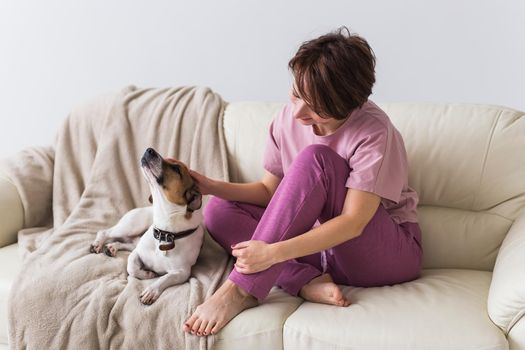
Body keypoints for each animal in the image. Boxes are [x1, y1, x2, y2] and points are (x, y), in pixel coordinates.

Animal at [89, 148, 204, 304]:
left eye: (176, 169)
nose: (149, 150)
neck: (166, 232)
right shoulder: (138, 253)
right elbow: (131, 266)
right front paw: (148, 274)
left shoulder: (182, 272)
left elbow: (165, 278)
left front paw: (151, 290)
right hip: (131, 226)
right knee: (105, 232)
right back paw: (98, 244)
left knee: (123, 243)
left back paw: (112, 248)